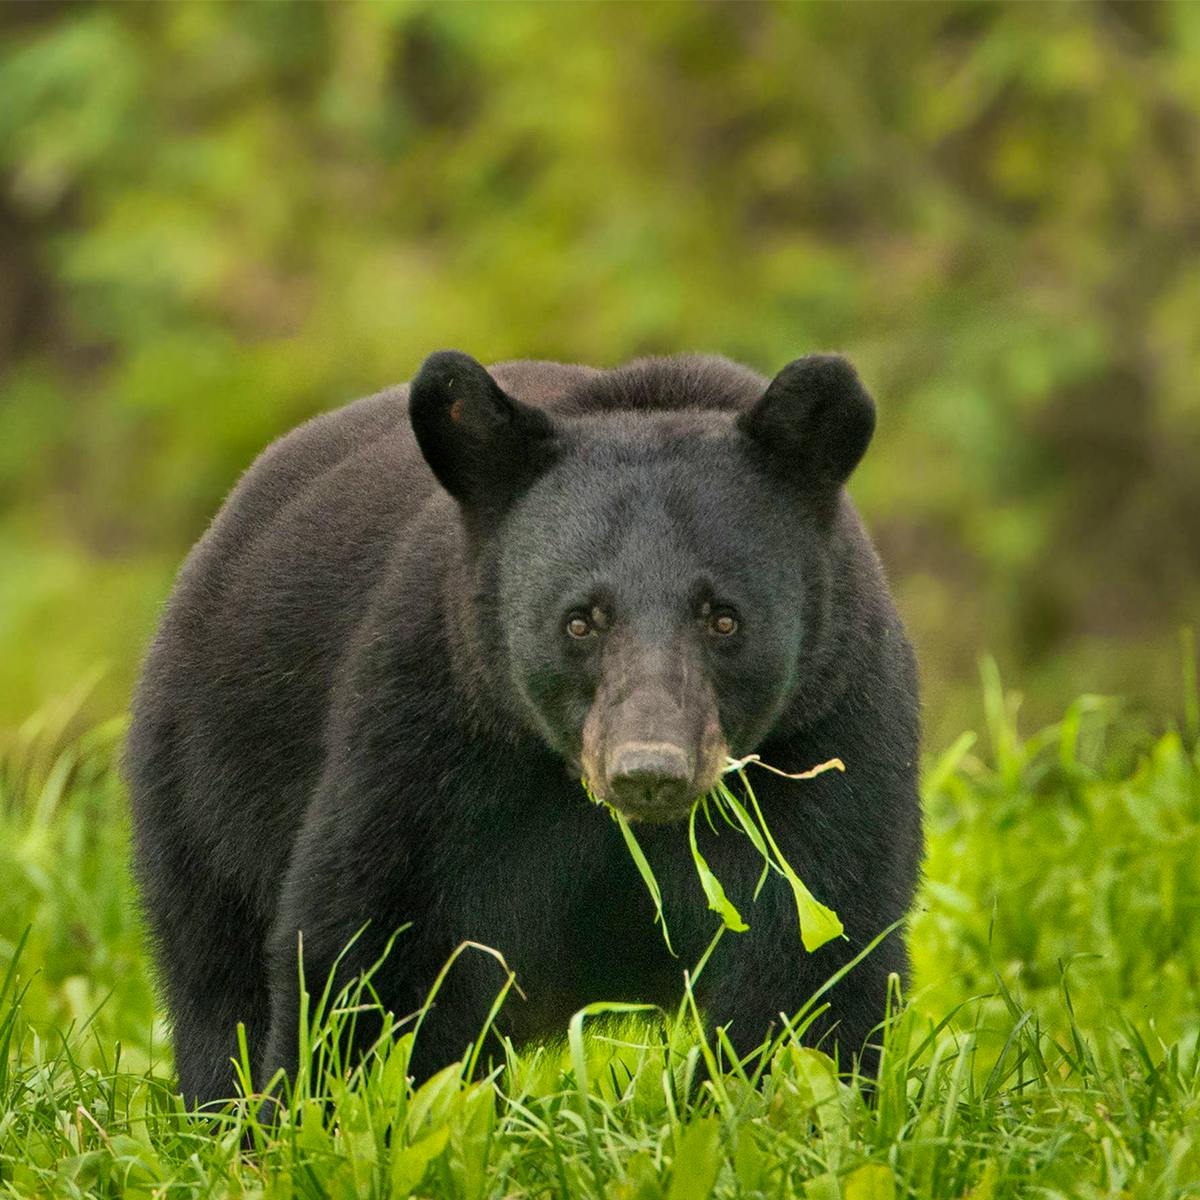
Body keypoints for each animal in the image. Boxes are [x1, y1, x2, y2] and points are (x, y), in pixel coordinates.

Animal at [126, 350, 921, 1104]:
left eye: (723, 618)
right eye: (581, 620)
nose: (649, 772)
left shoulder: (830, 735)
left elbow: (808, 960)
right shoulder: (433, 735)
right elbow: (375, 952)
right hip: (206, 782)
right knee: (215, 982)